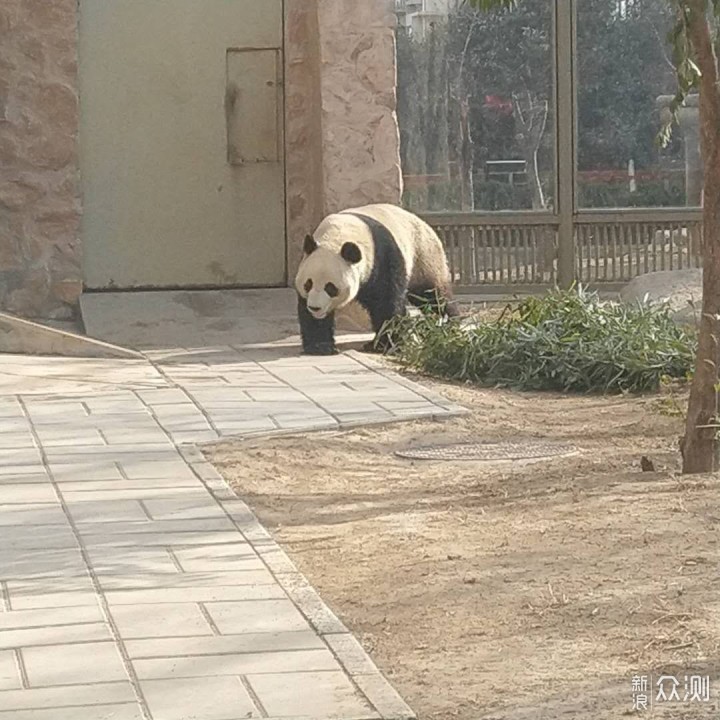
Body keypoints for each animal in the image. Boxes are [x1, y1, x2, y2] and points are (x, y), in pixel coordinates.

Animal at [292, 202, 456, 354]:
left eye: (330, 288)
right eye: (308, 284)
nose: (315, 308)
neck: (337, 237)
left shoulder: (383, 257)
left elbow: (386, 301)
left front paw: (384, 343)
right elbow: (307, 312)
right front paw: (320, 347)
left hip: (423, 257)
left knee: (432, 295)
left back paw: (450, 325)